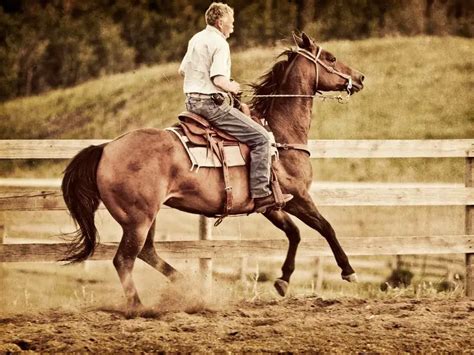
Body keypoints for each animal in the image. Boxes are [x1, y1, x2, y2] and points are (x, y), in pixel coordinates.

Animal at [62, 34, 366, 312]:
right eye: (331, 58)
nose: (360, 77)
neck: (278, 135)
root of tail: (105, 148)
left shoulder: (272, 205)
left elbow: (294, 234)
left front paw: (283, 280)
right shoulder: (299, 196)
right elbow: (325, 227)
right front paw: (348, 271)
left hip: (145, 217)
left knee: (147, 252)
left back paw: (187, 286)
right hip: (138, 219)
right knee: (124, 260)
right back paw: (139, 306)